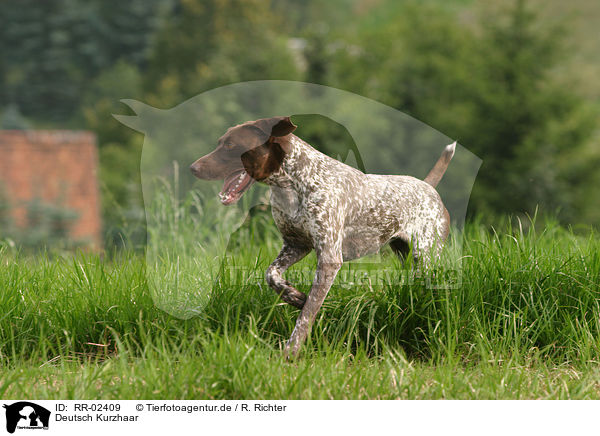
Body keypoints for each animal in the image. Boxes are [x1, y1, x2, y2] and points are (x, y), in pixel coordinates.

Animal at [191, 116, 454, 358]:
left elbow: (307, 315)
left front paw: (291, 350)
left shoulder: (328, 258)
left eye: (230, 145)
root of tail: (428, 187)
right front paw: (294, 296)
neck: (292, 183)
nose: (193, 168)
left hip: (426, 257)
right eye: (220, 142)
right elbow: (271, 274)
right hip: (406, 255)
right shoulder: (296, 245)